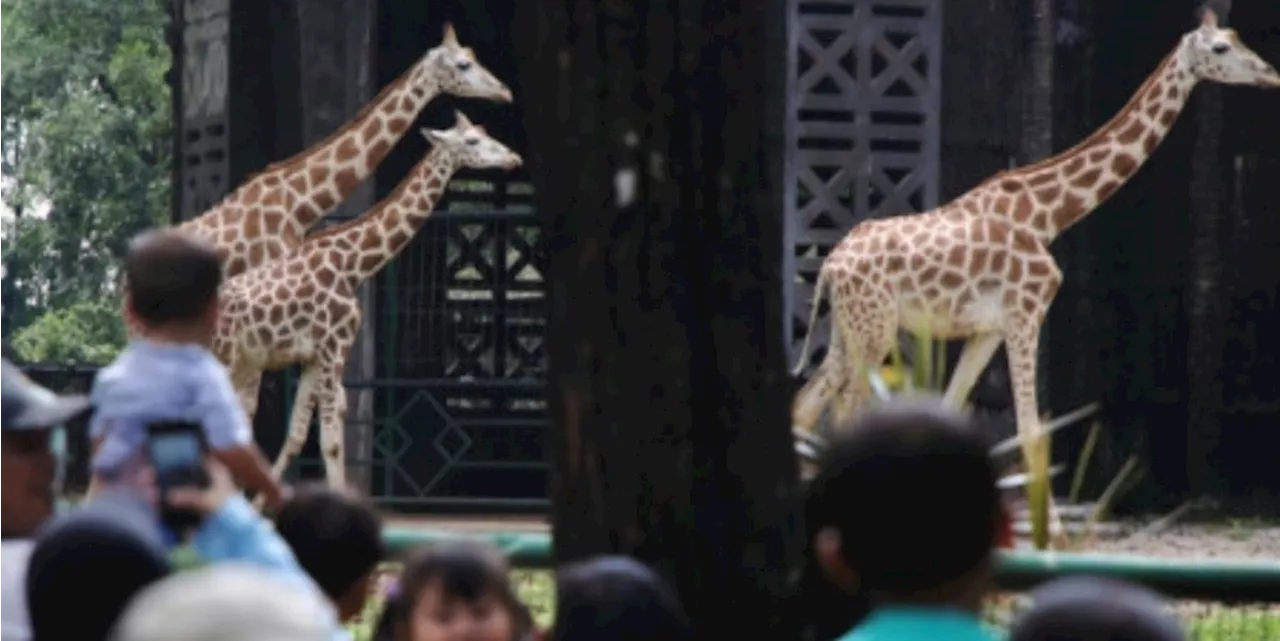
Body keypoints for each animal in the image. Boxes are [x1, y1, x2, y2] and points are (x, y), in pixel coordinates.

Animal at [212, 112, 522, 486]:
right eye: (472, 141)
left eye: (484, 132)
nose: (514, 157)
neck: (353, 264)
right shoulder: (335, 347)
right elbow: (330, 441)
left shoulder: (314, 356)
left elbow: (297, 435)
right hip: (224, 356)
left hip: (240, 360)